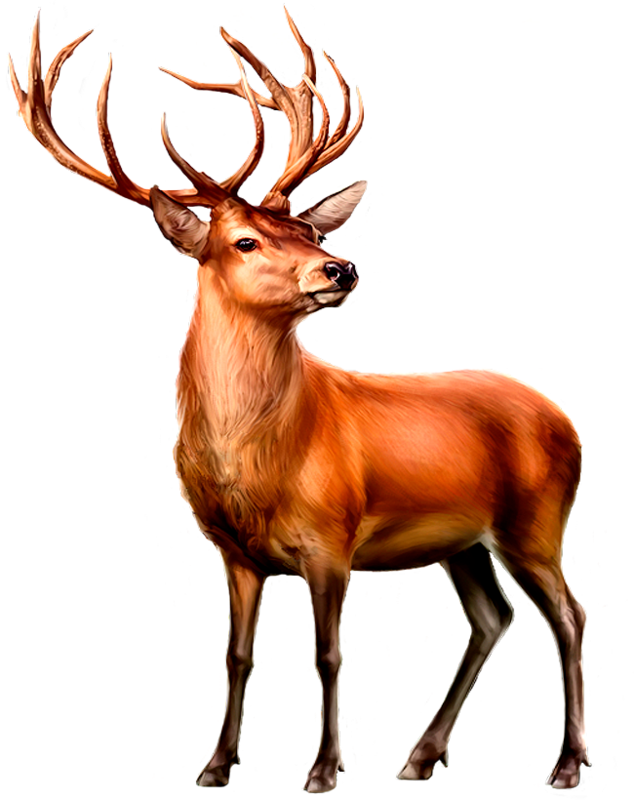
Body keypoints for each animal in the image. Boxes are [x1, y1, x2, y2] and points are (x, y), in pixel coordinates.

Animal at [7, 5, 591, 793]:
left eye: (311, 229)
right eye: (245, 241)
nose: (339, 267)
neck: (256, 462)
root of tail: (563, 418)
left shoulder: (331, 536)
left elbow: (328, 653)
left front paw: (323, 770)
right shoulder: (232, 549)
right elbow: (238, 655)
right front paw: (216, 766)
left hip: (536, 518)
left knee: (569, 613)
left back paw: (565, 765)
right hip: (463, 539)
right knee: (492, 618)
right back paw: (421, 757)